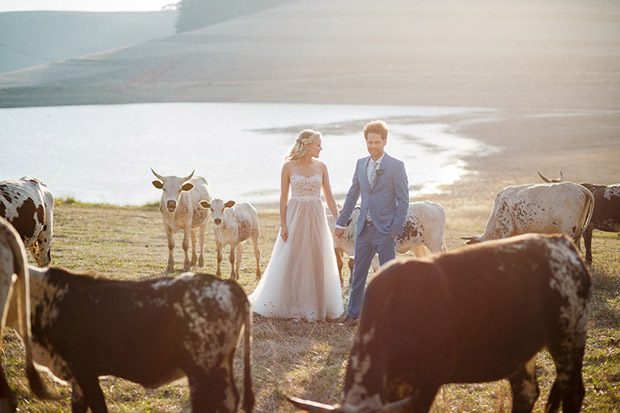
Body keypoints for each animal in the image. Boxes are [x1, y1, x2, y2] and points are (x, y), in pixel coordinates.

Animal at [290, 233, 592, 410]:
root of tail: (562, 243)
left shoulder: (428, 382)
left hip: (569, 340)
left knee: (573, 392)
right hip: (522, 354)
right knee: (527, 393)